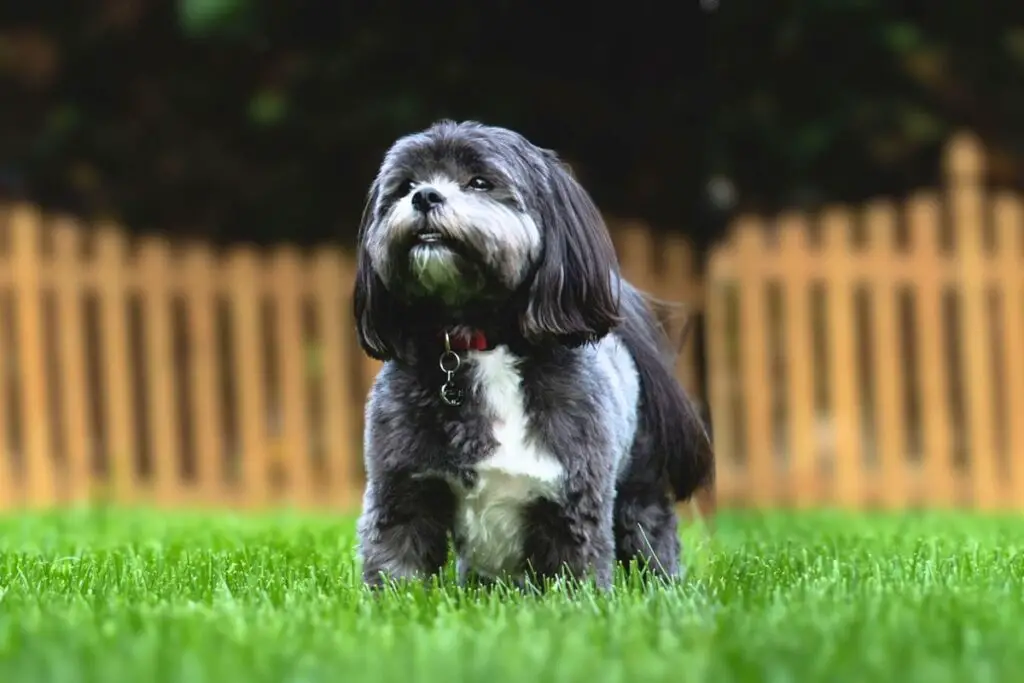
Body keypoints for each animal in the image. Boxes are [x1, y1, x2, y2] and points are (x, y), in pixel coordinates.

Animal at [352, 118, 712, 589]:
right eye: (405, 185)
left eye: (480, 182)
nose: (425, 196)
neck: (482, 341)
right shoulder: (402, 490)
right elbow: (397, 564)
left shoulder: (573, 502)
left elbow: (577, 573)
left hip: (640, 485)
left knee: (650, 531)